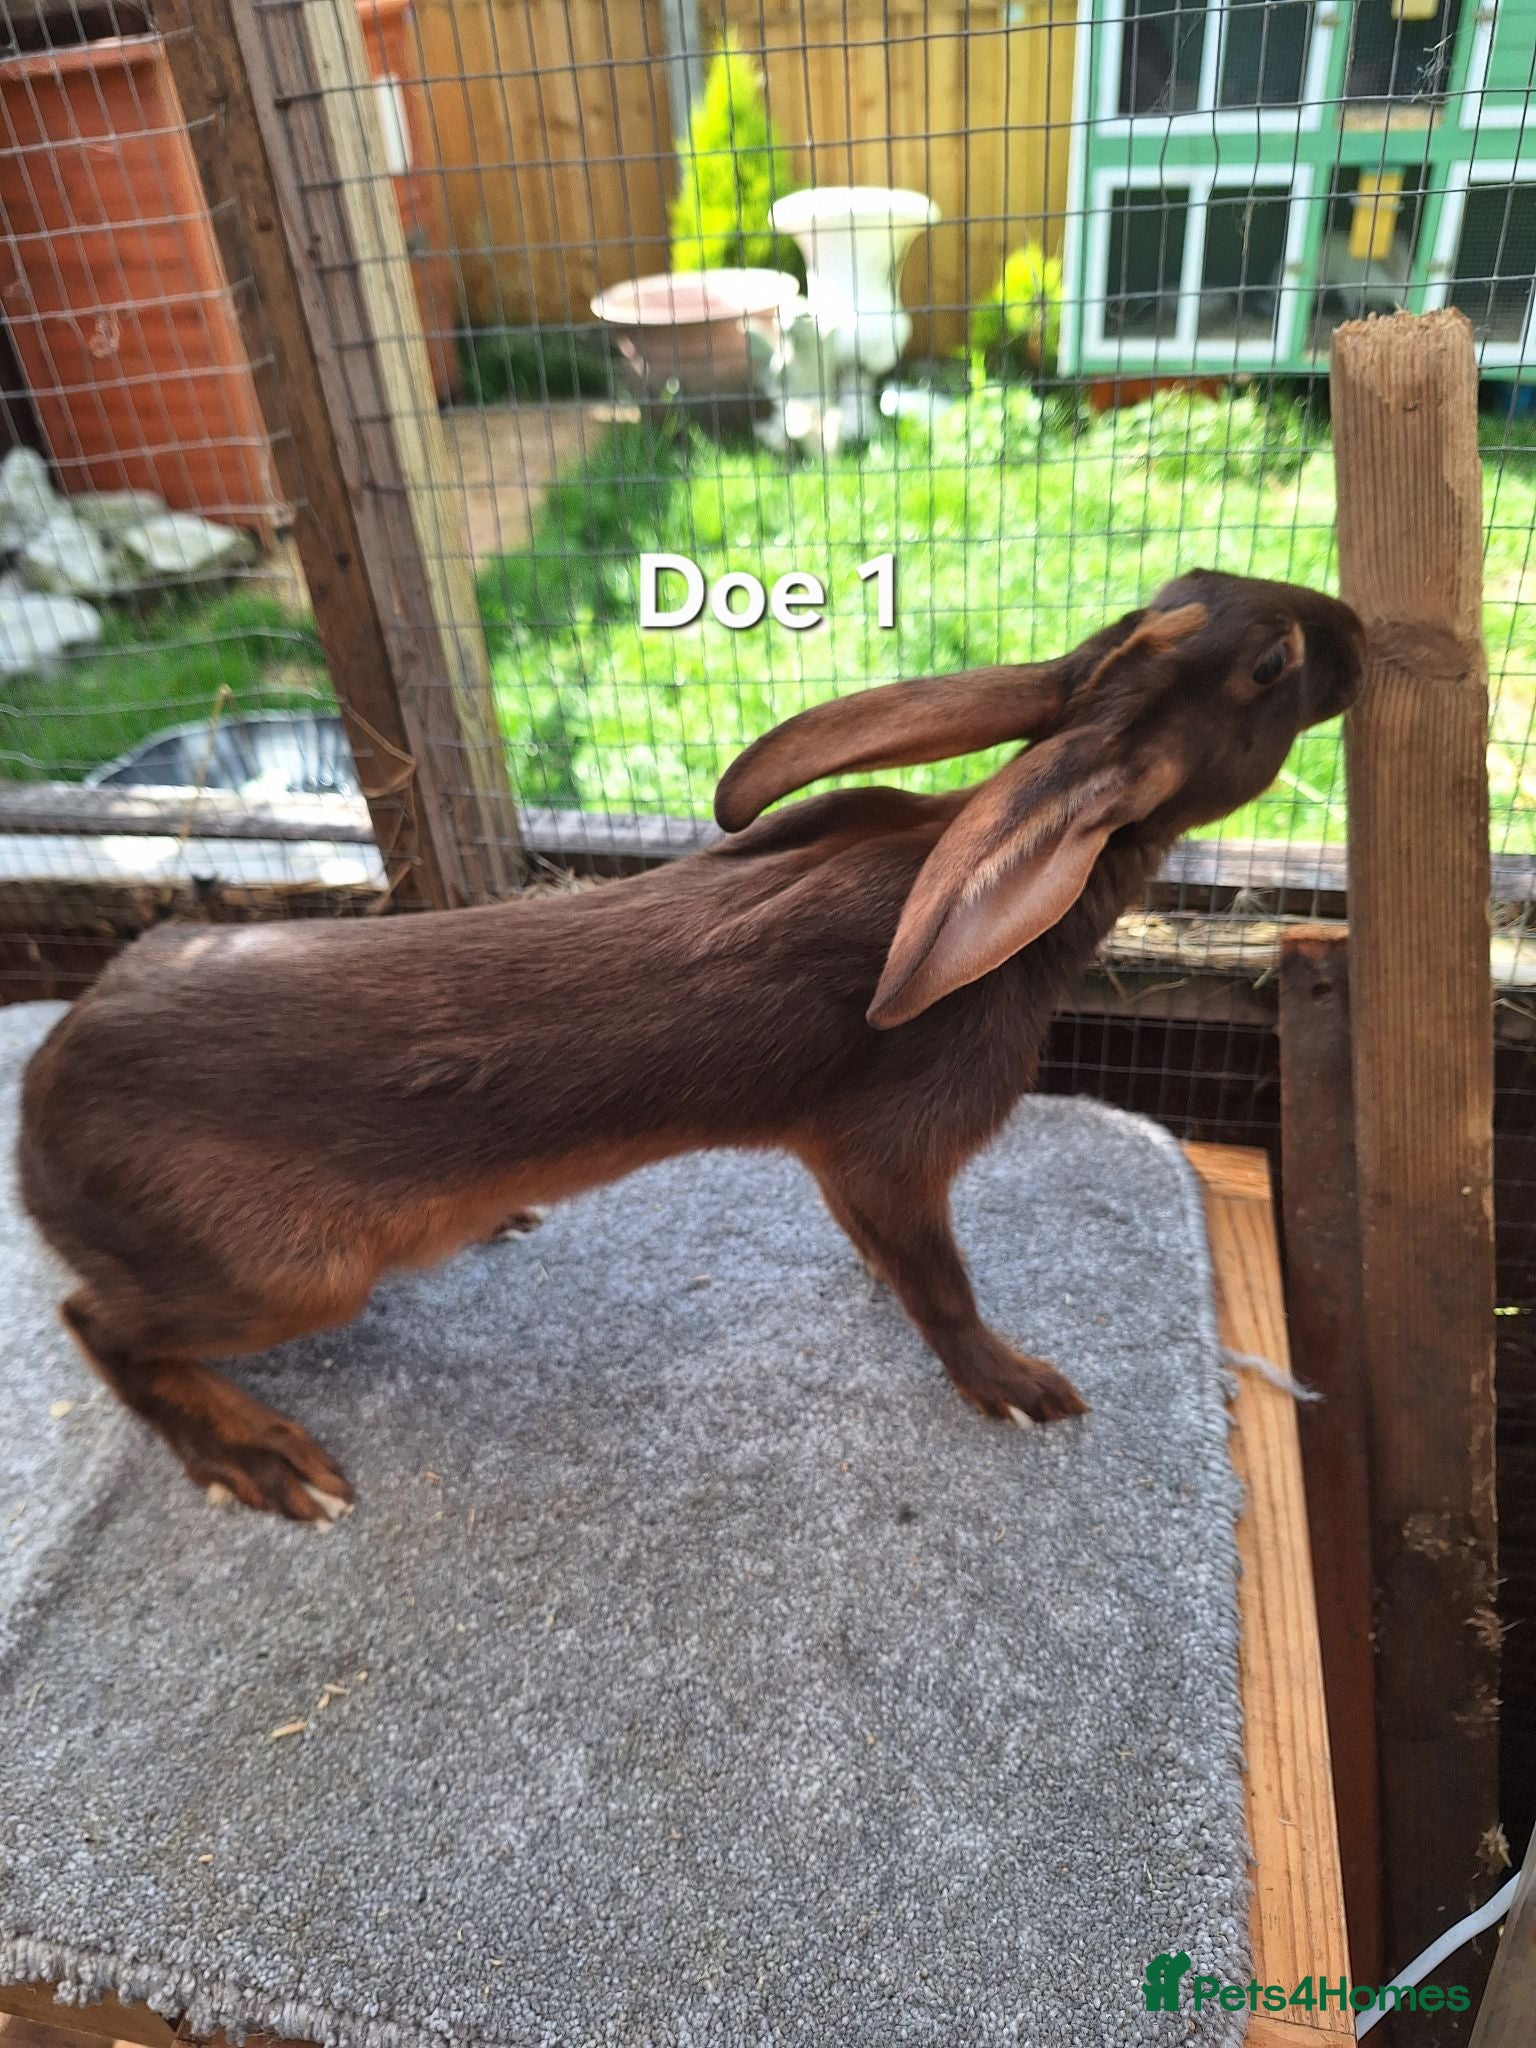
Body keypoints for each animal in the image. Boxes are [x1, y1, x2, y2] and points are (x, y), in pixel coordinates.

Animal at [17, 568, 1364, 1521]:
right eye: (1275, 663)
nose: (1348, 621)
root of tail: (35, 1115)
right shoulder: (891, 1154)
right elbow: (941, 1283)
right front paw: (1020, 1387)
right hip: (290, 1274)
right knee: (99, 1324)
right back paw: (260, 1459)